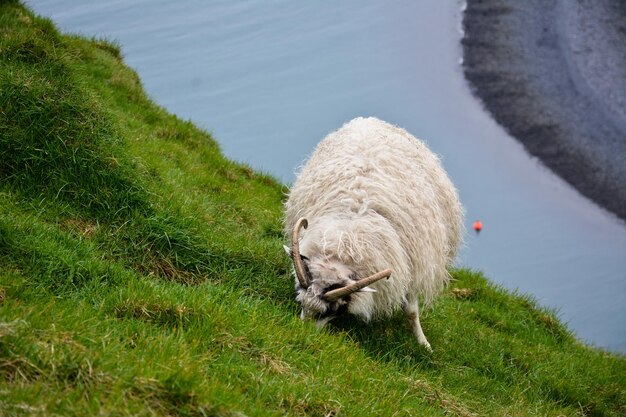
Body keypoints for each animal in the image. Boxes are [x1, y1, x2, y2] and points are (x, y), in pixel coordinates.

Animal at [282, 116, 464, 348]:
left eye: (333, 309)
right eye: (300, 301)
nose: (303, 332)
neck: (346, 241)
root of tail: (372, 119)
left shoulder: (415, 266)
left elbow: (412, 311)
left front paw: (423, 344)